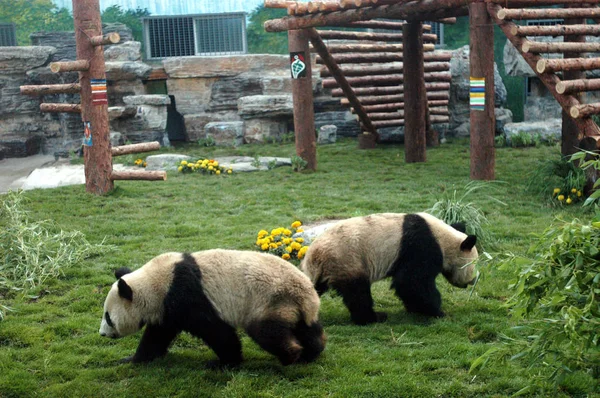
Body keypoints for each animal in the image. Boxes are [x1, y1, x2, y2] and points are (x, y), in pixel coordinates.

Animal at [98, 250, 326, 366]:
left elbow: (215, 330)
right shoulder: (166, 309)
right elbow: (157, 335)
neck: (157, 283)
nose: (102, 334)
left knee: (267, 332)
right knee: (307, 329)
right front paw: (133, 359)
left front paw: (227, 362)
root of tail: (308, 296)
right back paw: (310, 354)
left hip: (270, 300)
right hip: (292, 307)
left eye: (108, 317)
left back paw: (290, 356)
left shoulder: (186, 295)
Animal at [302, 213, 480, 324]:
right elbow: (412, 282)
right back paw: (373, 318)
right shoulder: (421, 246)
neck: (443, 239)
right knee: (357, 292)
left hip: (330, 269)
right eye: (472, 265)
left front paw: (415, 308)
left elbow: (408, 285)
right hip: (347, 260)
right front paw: (437, 311)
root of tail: (314, 255)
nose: (471, 282)